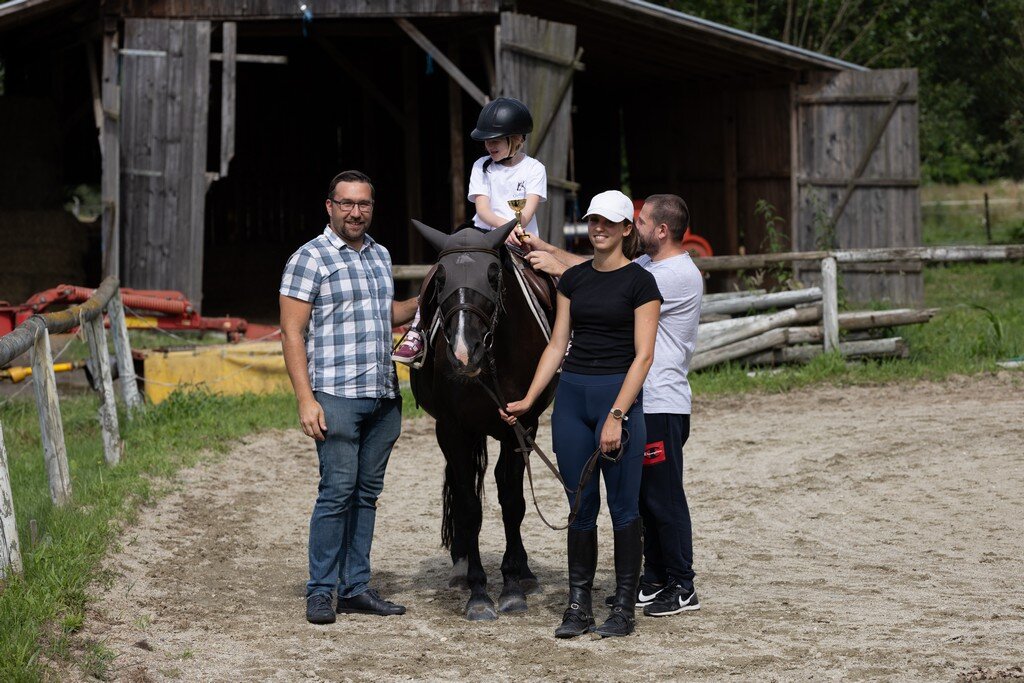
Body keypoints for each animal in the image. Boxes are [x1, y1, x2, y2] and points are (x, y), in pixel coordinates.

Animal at [407, 219, 557, 618]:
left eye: (492, 275)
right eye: (440, 279)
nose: (463, 352)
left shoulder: (521, 424)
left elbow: (513, 501)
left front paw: (513, 584)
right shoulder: (453, 429)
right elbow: (469, 505)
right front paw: (478, 592)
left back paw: (525, 573)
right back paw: (461, 568)